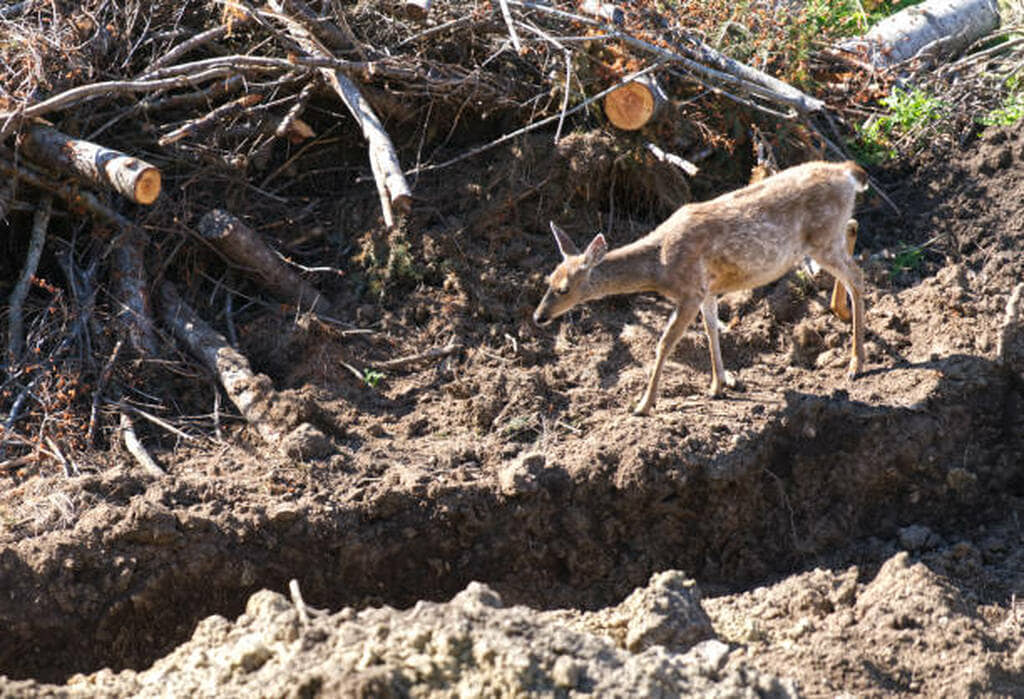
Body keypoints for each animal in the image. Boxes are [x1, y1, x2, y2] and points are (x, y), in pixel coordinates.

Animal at [533, 160, 868, 416]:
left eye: (564, 288)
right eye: (548, 279)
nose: (538, 316)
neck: (659, 266)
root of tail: (848, 173)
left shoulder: (690, 291)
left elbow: (665, 343)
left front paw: (643, 405)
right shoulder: (707, 291)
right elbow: (711, 331)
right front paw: (718, 386)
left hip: (822, 238)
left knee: (858, 275)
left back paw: (856, 363)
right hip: (828, 236)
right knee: (853, 229)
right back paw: (840, 312)